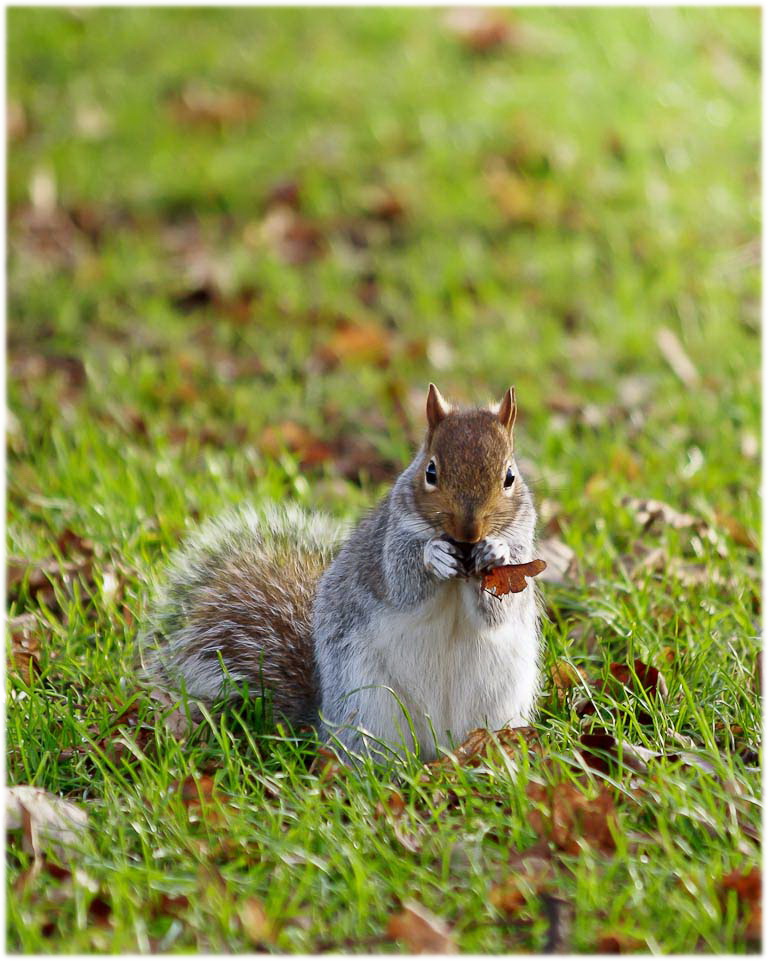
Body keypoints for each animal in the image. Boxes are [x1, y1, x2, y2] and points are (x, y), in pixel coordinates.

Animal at [142, 384, 540, 764]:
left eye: (510, 476)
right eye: (430, 472)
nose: (470, 531)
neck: (462, 562)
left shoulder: (521, 546)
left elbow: (498, 610)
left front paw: (496, 551)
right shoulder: (388, 546)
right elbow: (403, 585)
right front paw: (434, 556)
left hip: (495, 706)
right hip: (369, 703)